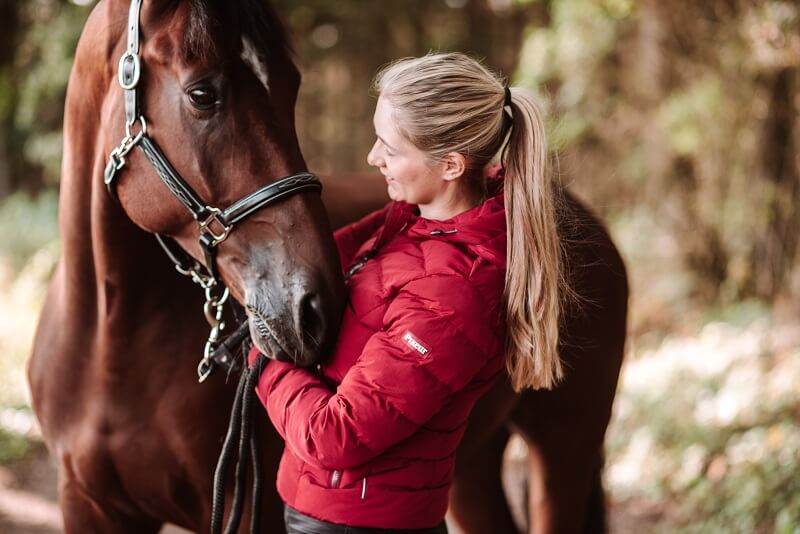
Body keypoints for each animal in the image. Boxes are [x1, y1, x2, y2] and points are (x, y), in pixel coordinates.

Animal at [28, 1, 628, 534]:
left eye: (291, 85)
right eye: (202, 93)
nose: (314, 309)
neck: (111, 340)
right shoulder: (87, 507)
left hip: (564, 451)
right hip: (472, 466)